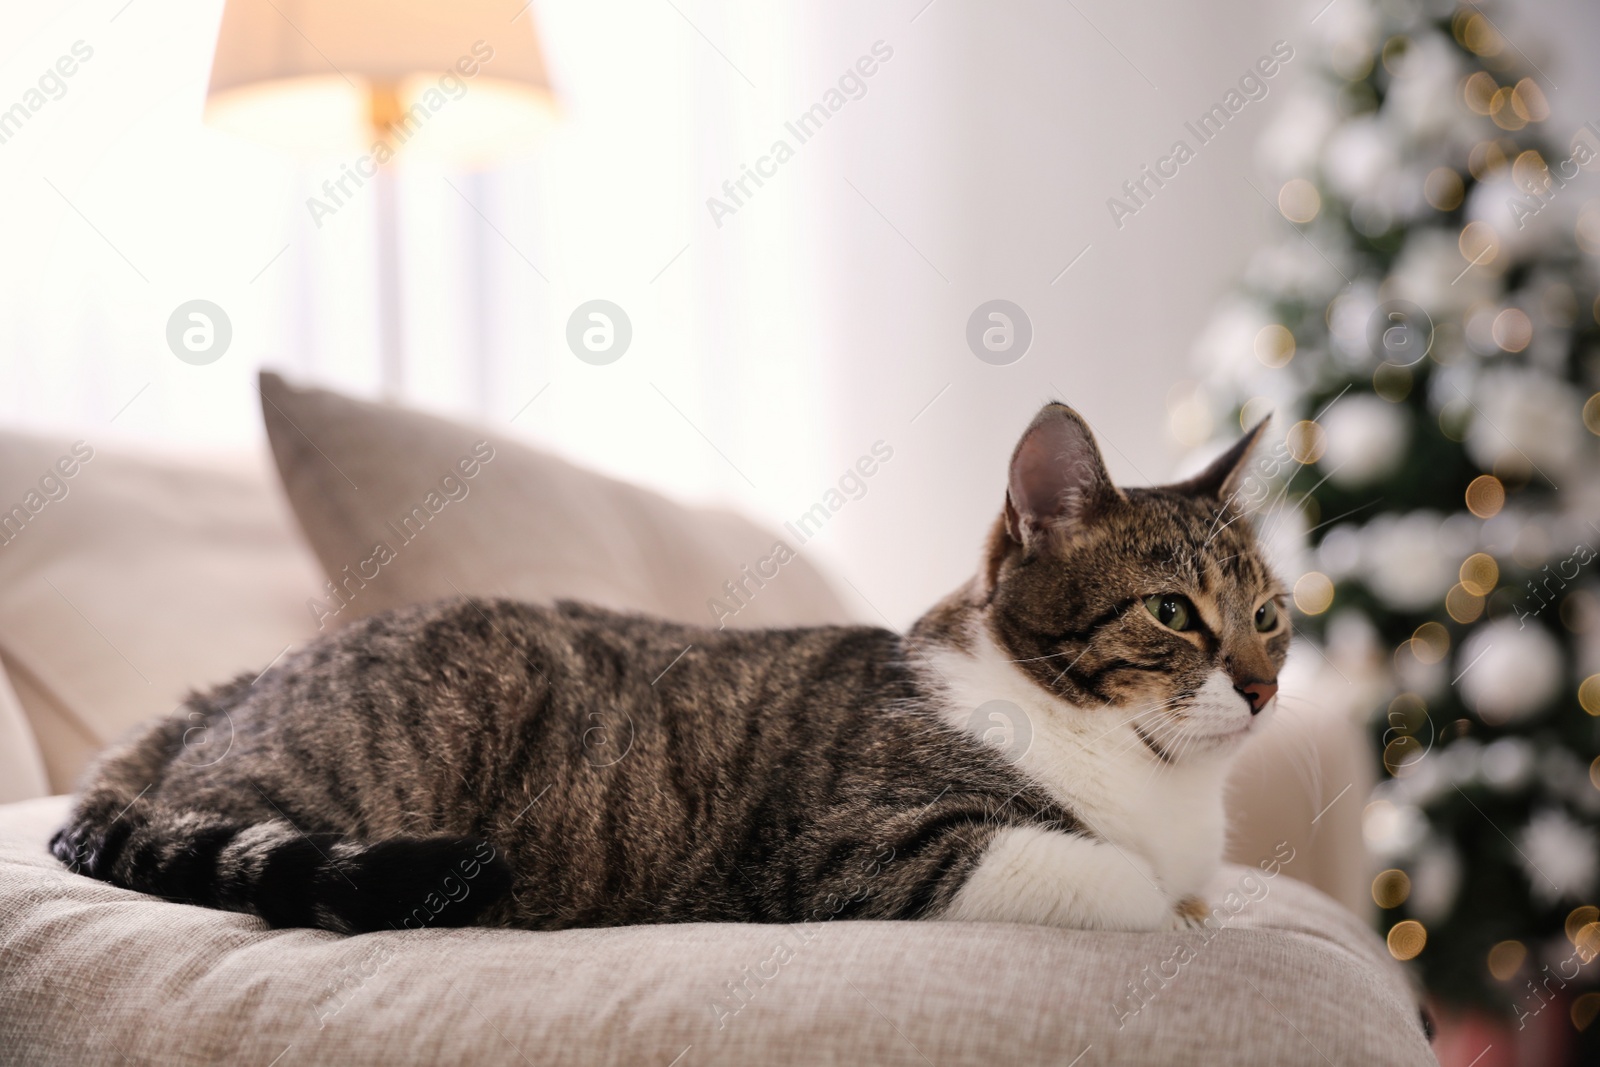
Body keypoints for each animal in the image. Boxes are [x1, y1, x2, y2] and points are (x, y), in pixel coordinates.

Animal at [56, 404, 1292, 940]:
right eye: (1174, 613)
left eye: (1272, 616)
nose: (1264, 688)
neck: (1157, 781)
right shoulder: (870, 848)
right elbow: (1123, 888)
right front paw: (1179, 916)